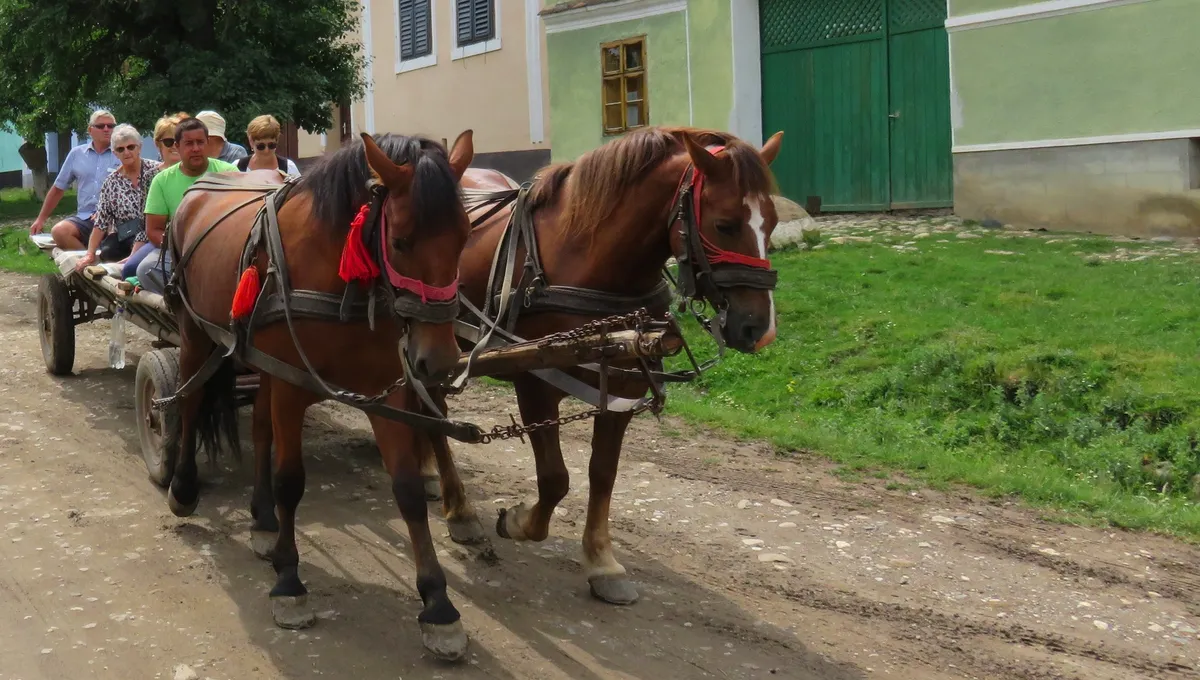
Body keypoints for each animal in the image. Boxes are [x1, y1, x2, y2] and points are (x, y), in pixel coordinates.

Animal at [165, 131, 482, 662]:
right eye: (400, 241)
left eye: (464, 238)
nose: (439, 362)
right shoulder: (292, 386)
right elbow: (291, 479)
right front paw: (290, 582)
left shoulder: (383, 391)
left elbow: (408, 491)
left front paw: (438, 606)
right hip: (194, 332)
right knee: (189, 404)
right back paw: (184, 487)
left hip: (261, 361)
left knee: (260, 428)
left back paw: (263, 520)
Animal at [417, 127, 782, 606]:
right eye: (725, 224)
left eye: (772, 222)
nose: (760, 328)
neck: (583, 256)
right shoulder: (536, 382)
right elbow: (555, 478)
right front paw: (519, 521)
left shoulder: (624, 386)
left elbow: (603, 473)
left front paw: (601, 560)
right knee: (434, 414)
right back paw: (458, 508)